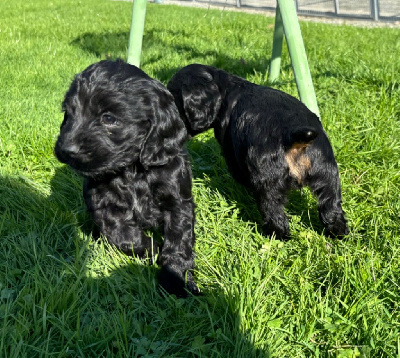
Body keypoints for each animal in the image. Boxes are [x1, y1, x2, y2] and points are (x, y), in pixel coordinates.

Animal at [55, 60, 199, 298]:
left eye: (109, 118)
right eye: (69, 112)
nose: (67, 149)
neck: (132, 170)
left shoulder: (178, 202)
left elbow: (179, 241)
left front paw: (177, 280)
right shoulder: (103, 203)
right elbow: (123, 236)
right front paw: (153, 250)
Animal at [167, 63, 348, 241]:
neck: (228, 90)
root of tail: (294, 134)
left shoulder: (230, 149)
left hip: (268, 180)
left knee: (273, 210)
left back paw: (276, 234)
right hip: (327, 173)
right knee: (331, 206)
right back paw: (338, 233)